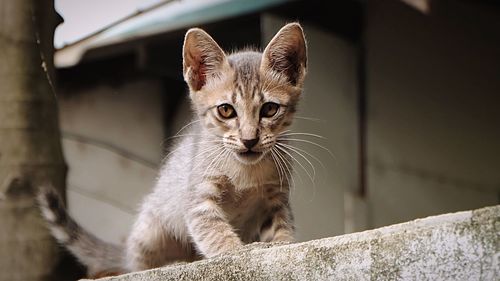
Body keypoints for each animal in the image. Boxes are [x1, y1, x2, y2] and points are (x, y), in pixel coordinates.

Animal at [37, 22, 306, 276]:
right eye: (226, 110)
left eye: (269, 109)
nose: (249, 140)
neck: (246, 172)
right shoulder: (198, 200)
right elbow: (216, 234)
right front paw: (237, 251)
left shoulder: (277, 199)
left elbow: (282, 227)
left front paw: (282, 244)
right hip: (150, 229)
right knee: (138, 264)